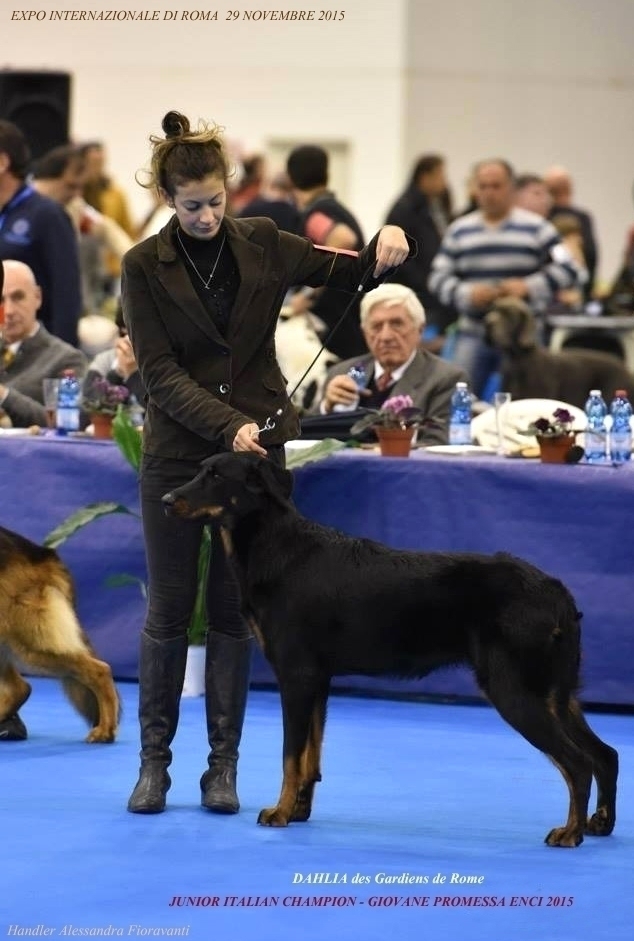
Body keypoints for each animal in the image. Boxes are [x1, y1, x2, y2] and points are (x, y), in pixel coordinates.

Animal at [160, 452, 616, 848]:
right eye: (200, 470)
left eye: (215, 476)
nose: (165, 500)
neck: (275, 546)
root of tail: (557, 593)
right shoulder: (318, 679)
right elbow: (310, 757)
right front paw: (301, 811)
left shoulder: (296, 676)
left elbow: (291, 757)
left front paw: (281, 812)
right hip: (556, 693)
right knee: (605, 755)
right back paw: (599, 825)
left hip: (514, 690)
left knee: (577, 763)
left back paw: (570, 833)